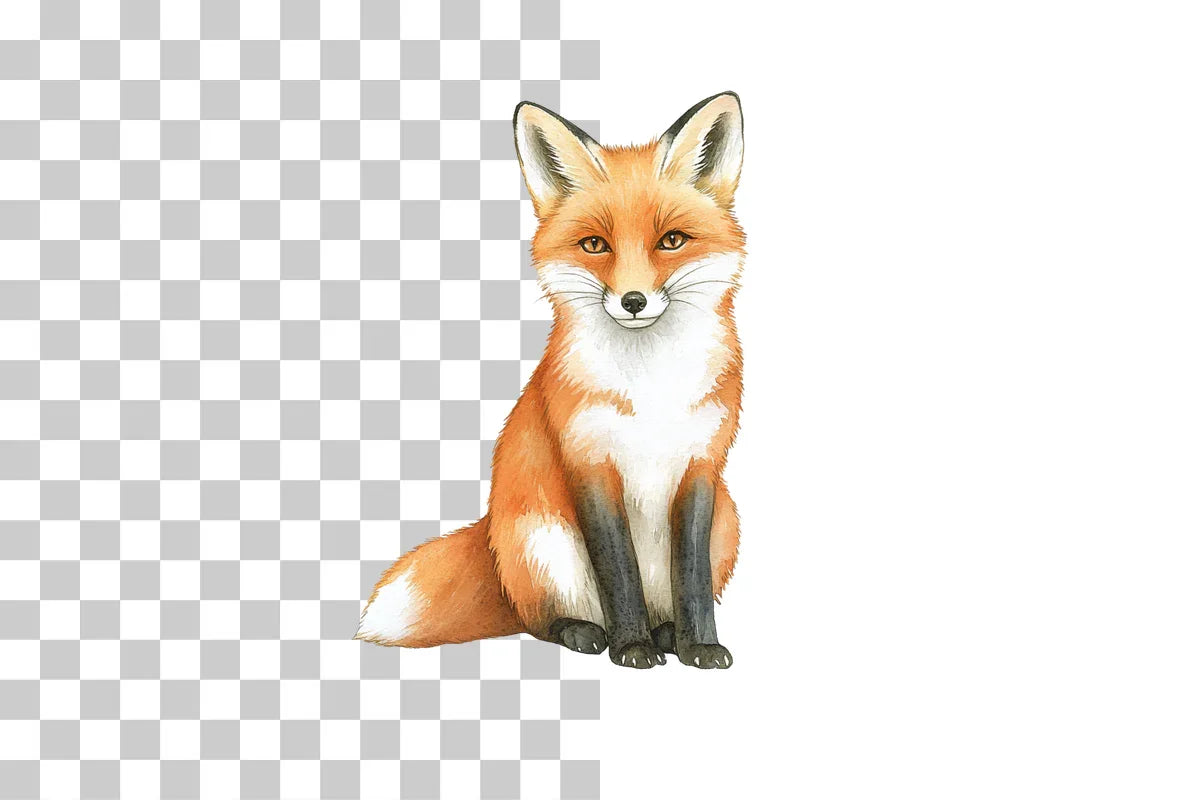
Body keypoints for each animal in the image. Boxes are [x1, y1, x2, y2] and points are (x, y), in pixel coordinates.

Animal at [356, 92, 746, 669]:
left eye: (672, 240)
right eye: (595, 244)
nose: (633, 301)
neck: (650, 387)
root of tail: (491, 530)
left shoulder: (701, 465)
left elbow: (691, 575)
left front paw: (698, 644)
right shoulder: (588, 460)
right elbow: (618, 569)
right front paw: (630, 647)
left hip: (729, 522)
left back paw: (666, 633)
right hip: (544, 544)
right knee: (538, 619)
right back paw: (590, 633)